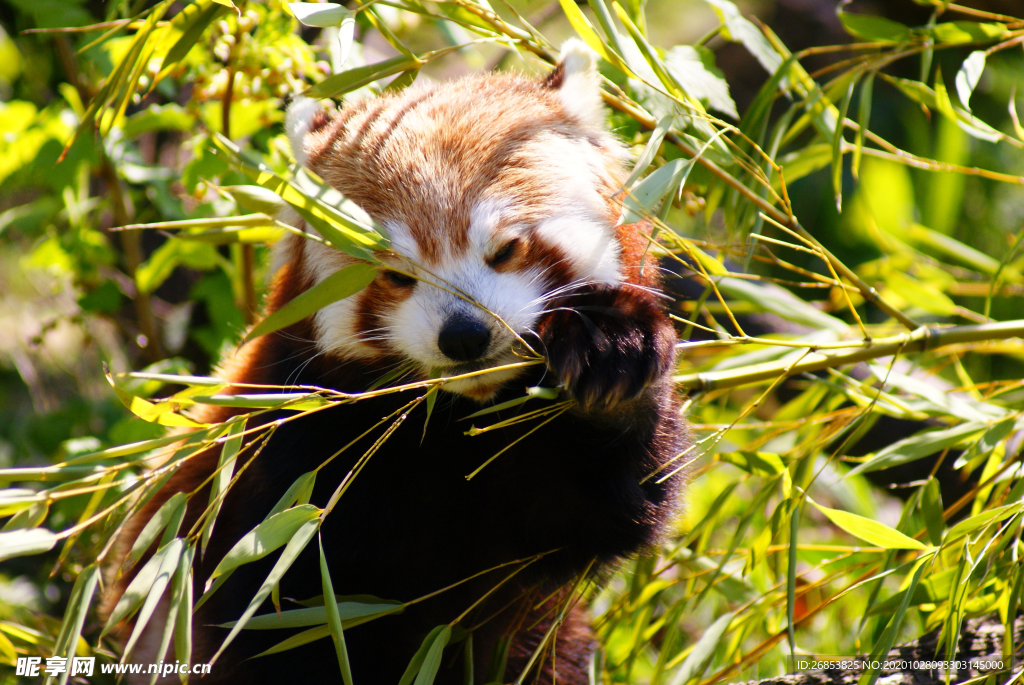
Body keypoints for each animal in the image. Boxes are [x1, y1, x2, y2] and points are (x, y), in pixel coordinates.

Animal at [105, 38, 688, 683]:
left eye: (506, 249)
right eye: (396, 275)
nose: (464, 337)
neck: (454, 427)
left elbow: (612, 501)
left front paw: (612, 356)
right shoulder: (284, 458)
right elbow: (269, 613)